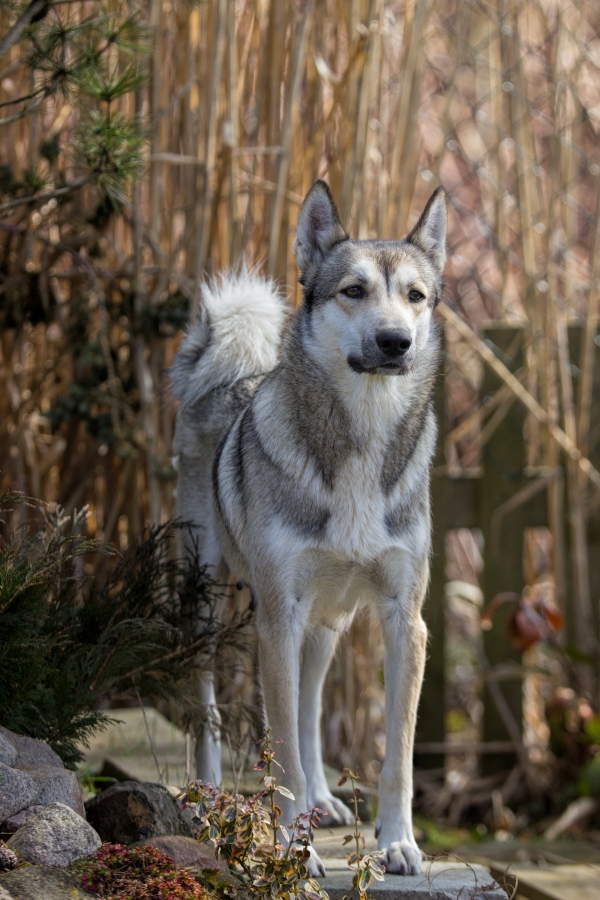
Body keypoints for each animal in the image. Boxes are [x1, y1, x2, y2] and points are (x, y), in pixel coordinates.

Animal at [169, 183, 446, 880]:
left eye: (415, 295)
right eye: (352, 290)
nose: (396, 341)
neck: (362, 437)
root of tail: (223, 376)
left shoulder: (405, 620)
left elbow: (396, 756)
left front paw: (398, 843)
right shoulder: (278, 619)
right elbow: (283, 753)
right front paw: (293, 849)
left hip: (326, 626)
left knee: (311, 708)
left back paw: (323, 800)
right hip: (207, 602)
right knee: (211, 710)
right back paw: (211, 797)